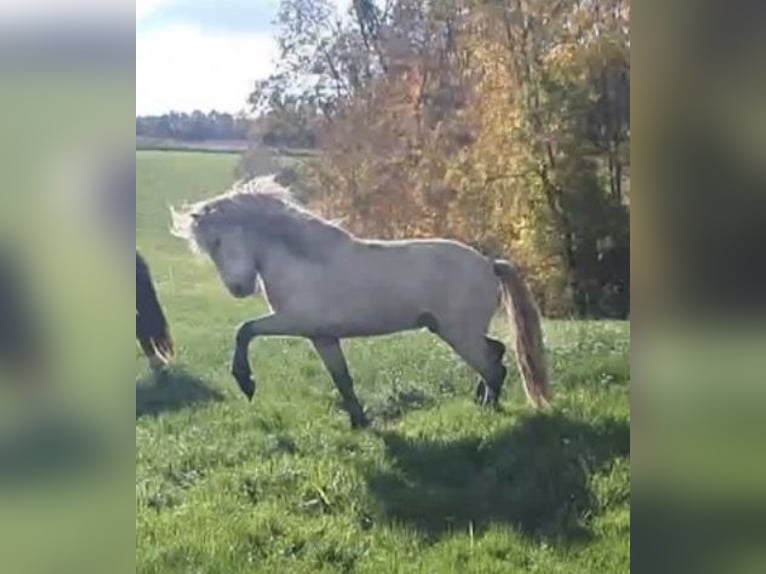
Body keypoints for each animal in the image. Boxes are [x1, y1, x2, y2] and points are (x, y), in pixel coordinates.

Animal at [170, 175, 550, 428]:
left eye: (218, 241)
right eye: (209, 249)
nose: (239, 288)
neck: (303, 260)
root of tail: (489, 264)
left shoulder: (294, 321)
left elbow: (245, 330)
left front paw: (245, 382)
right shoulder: (322, 337)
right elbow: (342, 379)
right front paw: (359, 421)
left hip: (458, 333)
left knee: (494, 366)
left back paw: (490, 409)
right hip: (457, 331)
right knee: (496, 353)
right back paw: (481, 399)